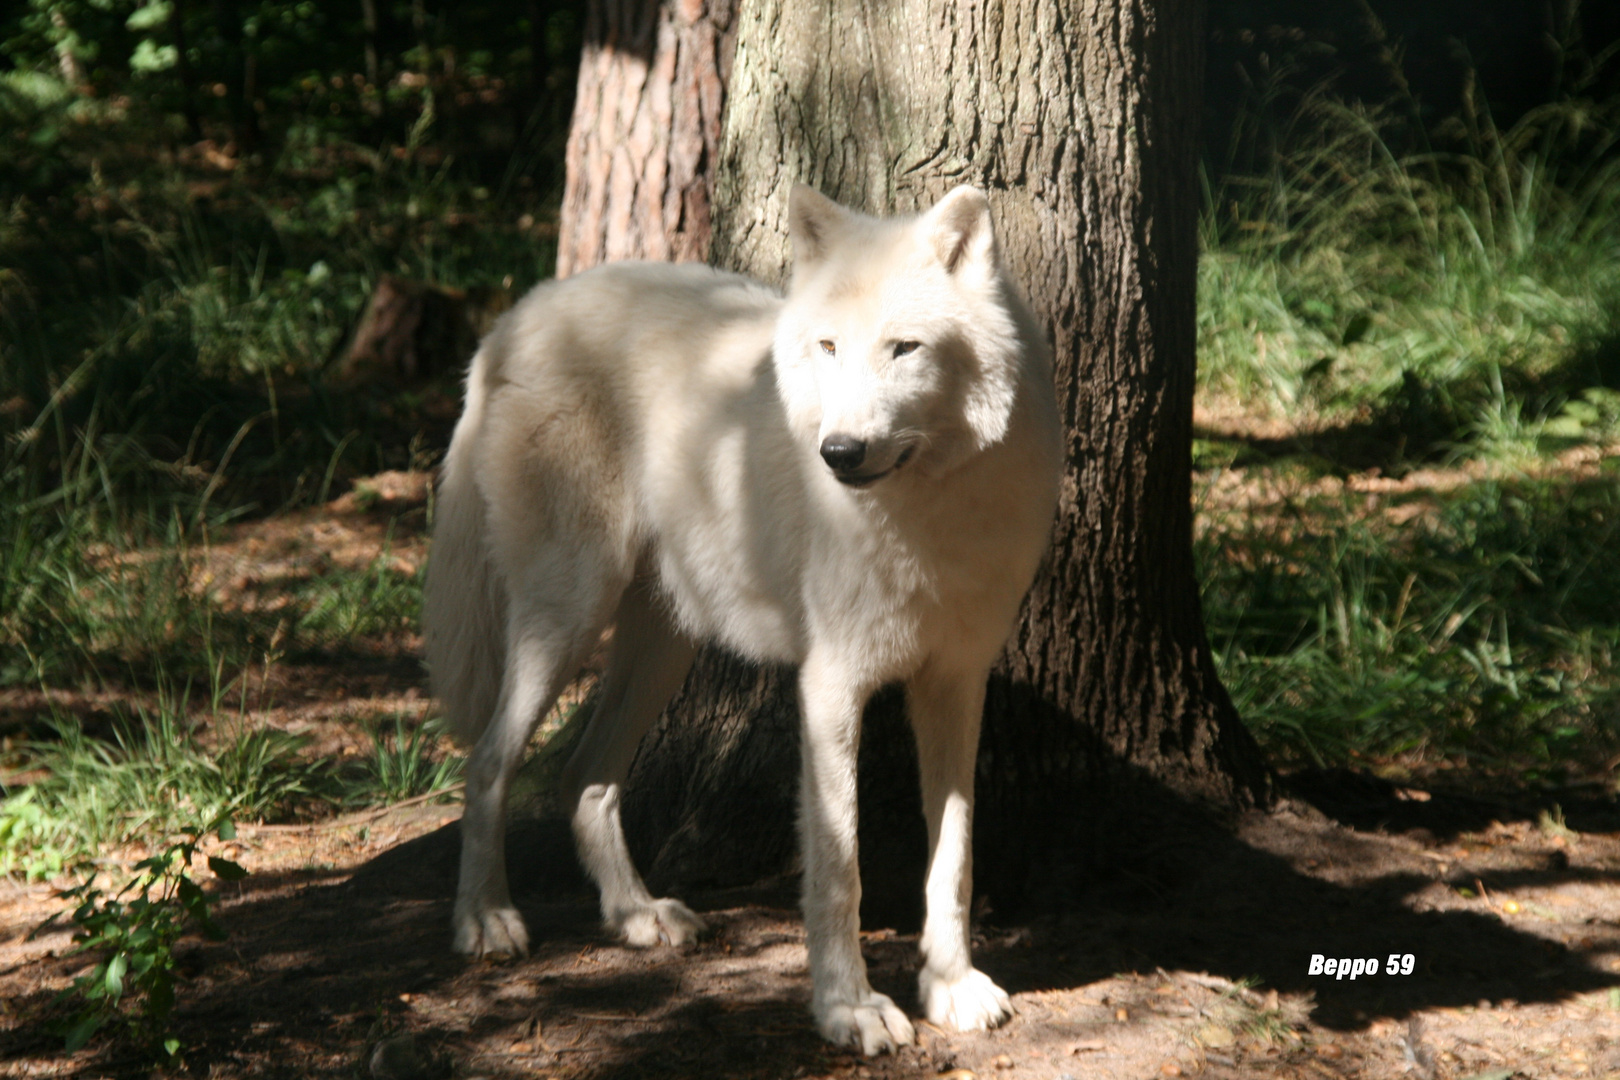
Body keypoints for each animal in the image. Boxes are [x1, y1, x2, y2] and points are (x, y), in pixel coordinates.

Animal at [421, 186, 1062, 1055]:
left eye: (905, 349)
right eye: (829, 346)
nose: (838, 452)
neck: (930, 512)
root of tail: (513, 320)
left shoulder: (955, 683)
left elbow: (954, 858)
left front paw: (952, 987)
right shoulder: (831, 685)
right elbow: (840, 867)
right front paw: (849, 1009)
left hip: (662, 649)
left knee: (585, 775)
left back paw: (636, 916)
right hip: (566, 615)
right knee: (489, 759)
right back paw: (486, 919)